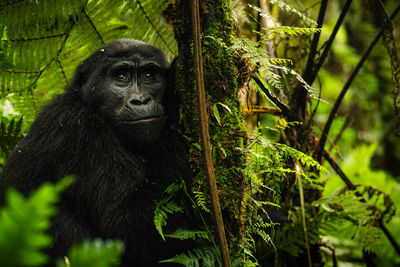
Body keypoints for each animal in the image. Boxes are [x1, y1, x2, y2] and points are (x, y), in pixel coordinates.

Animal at [0, 39, 194, 267]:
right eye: (121, 76)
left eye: (149, 75)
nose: (141, 100)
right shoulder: (74, 126)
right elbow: (133, 223)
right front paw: (175, 99)